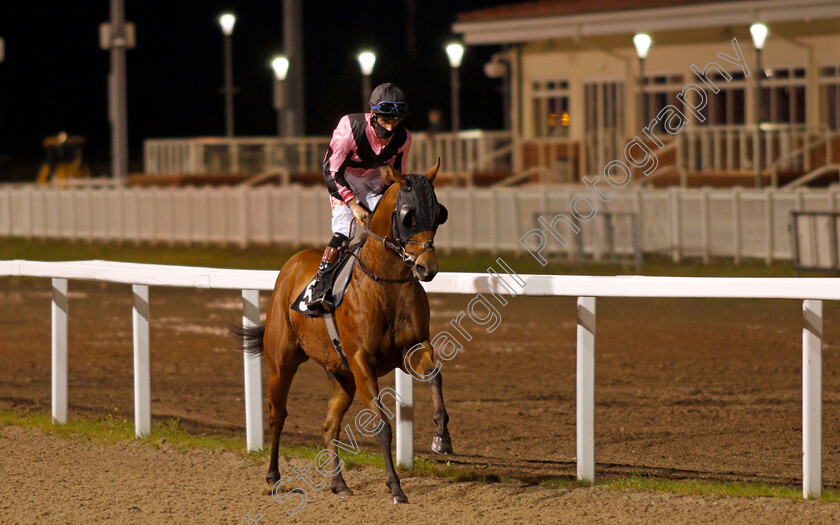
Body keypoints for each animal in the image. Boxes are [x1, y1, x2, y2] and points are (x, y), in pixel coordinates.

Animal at [233, 161, 450, 504]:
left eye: (439, 213)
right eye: (408, 215)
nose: (426, 268)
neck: (385, 283)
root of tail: (291, 264)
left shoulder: (412, 348)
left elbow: (434, 376)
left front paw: (442, 436)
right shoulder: (362, 362)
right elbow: (382, 426)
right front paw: (395, 486)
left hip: (342, 375)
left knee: (329, 425)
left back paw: (338, 482)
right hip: (282, 364)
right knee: (277, 415)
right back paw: (273, 476)